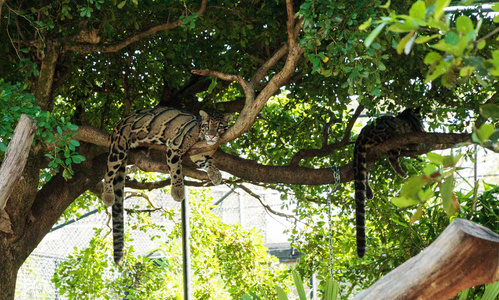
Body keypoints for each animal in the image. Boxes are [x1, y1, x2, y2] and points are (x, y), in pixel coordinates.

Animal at [103, 106, 234, 264]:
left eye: (219, 127)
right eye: (207, 126)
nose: (211, 136)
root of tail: (120, 121)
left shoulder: (199, 155)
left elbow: (209, 162)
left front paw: (215, 173)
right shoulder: (175, 147)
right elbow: (176, 170)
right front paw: (178, 191)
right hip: (118, 148)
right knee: (108, 173)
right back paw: (108, 195)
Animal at [354, 108, 424, 258]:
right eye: (419, 116)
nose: (422, 118)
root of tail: (362, 134)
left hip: (367, 159)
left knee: (365, 173)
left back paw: (369, 192)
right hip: (392, 138)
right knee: (392, 157)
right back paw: (402, 172)